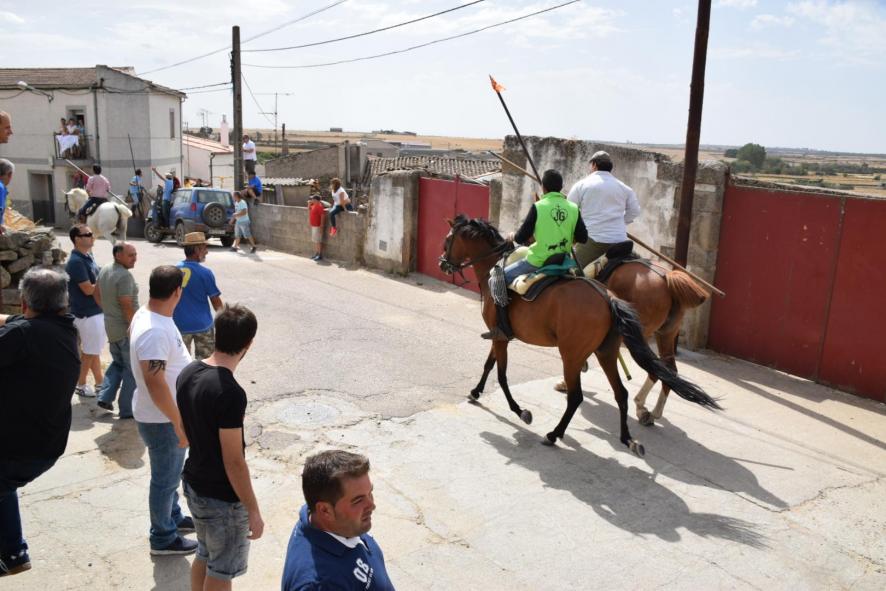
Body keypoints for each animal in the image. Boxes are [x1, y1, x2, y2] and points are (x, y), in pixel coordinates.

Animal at [439, 215, 720, 455]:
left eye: (447, 239)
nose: (442, 262)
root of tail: (608, 298)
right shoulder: (500, 335)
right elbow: (489, 364)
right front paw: (476, 392)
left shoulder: (499, 336)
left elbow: (501, 375)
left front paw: (520, 412)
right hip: (618, 348)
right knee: (631, 387)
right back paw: (630, 435)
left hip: (574, 354)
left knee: (580, 395)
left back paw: (555, 434)